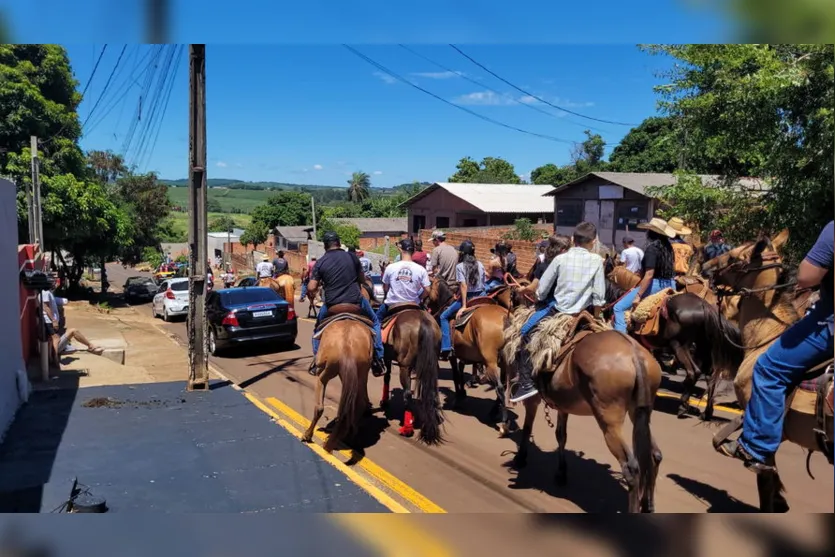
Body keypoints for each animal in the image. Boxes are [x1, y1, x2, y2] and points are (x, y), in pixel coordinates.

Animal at [302, 308, 374, 452]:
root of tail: (348, 347)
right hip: (361, 372)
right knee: (358, 404)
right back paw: (352, 437)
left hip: (324, 373)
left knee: (319, 407)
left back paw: (309, 434)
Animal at [378, 306, 444, 446]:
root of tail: (424, 321)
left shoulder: (387, 357)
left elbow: (387, 376)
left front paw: (384, 401)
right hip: (431, 363)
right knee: (432, 391)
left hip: (405, 366)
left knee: (407, 393)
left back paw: (407, 428)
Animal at [432, 276, 516, 436]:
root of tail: (505, 316)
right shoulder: (464, 355)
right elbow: (460, 371)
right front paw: (463, 392)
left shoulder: (452, 355)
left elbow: (455, 375)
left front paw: (459, 397)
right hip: (504, 363)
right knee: (502, 386)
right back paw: (494, 412)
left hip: (491, 362)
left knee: (500, 388)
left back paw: (503, 424)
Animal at [502, 310, 668, 510]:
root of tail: (635, 354)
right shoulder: (563, 405)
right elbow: (561, 435)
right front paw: (561, 473)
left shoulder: (532, 400)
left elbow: (527, 428)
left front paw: (520, 458)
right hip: (640, 412)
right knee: (653, 455)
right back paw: (648, 505)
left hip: (609, 419)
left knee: (631, 467)